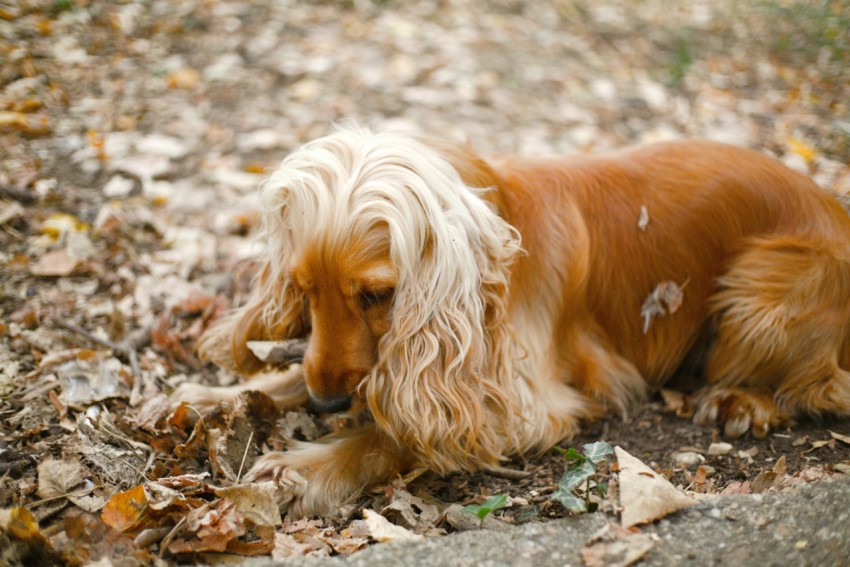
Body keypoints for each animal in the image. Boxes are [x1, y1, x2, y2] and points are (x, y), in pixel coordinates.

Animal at [179, 130, 848, 520]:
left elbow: (397, 434)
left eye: (377, 295)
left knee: (814, 382)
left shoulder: (524, 405)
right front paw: (203, 397)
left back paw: (743, 401)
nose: (326, 404)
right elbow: (308, 374)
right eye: (304, 288)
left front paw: (305, 467)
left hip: (765, 286)